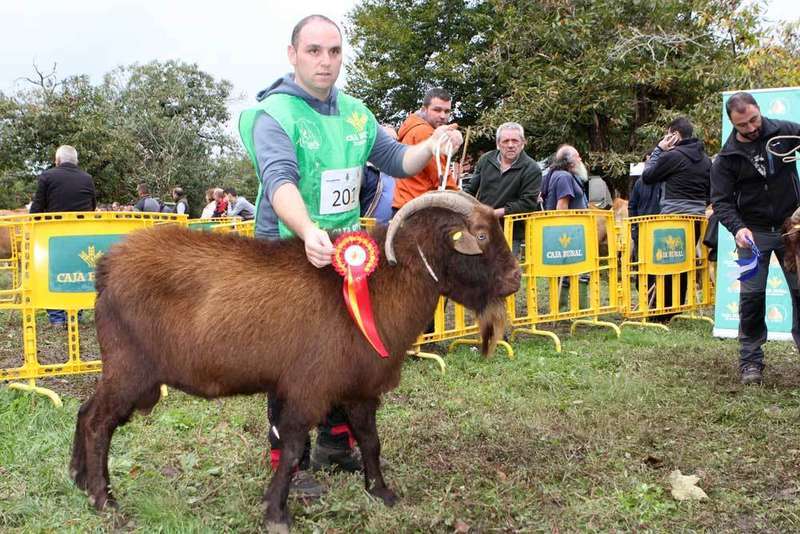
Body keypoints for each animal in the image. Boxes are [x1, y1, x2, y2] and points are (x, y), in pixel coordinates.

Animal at [69, 190, 521, 531]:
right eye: (481, 235)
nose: (515, 279)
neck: (380, 286)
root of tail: (106, 269)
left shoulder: (359, 388)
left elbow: (370, 440)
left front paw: (381, 492)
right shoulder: (308, 389)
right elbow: (289, 450)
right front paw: (276, 512)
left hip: (125, 371)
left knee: (85, 410)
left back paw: (79, 478)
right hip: (131, 369)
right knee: (98, 422)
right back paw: (103, 499)